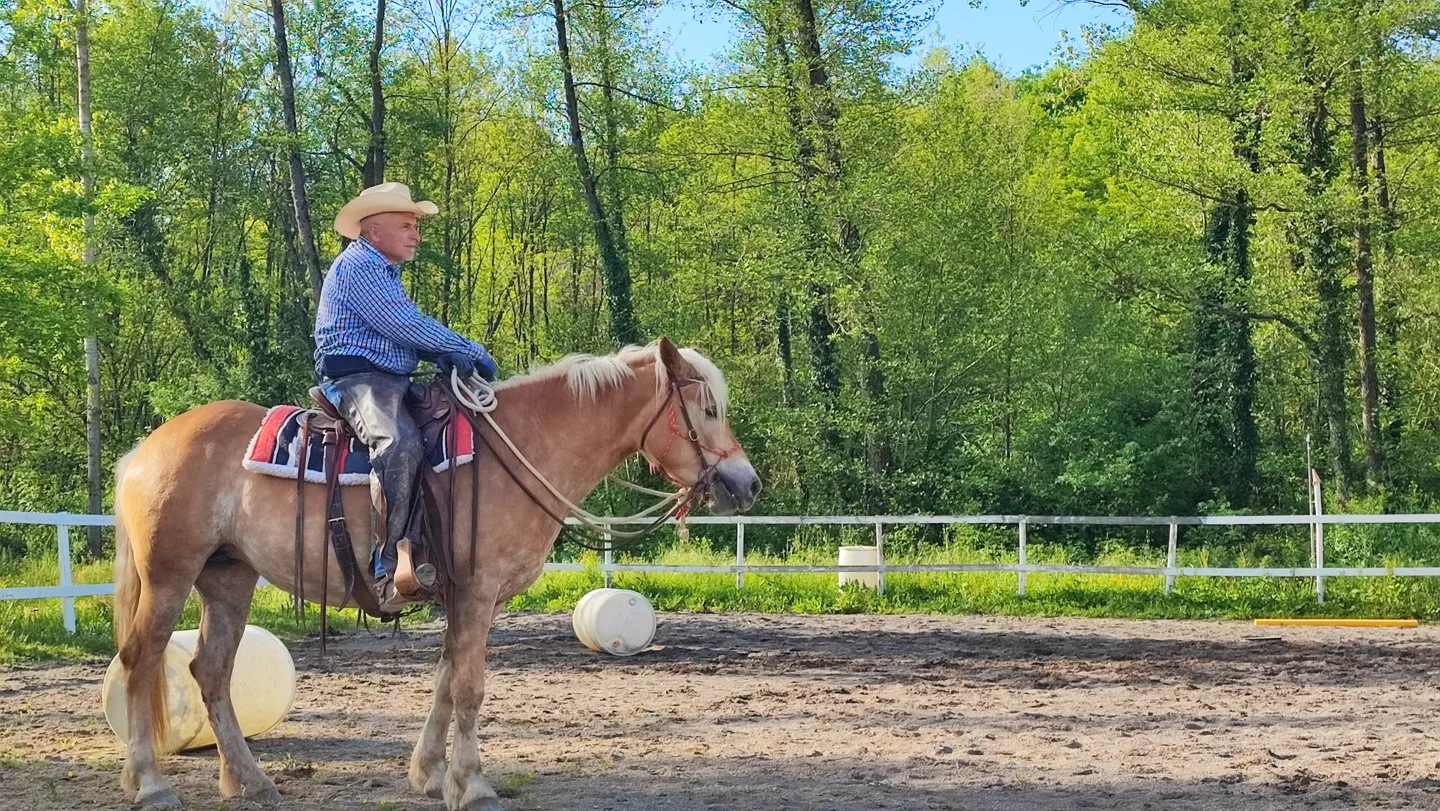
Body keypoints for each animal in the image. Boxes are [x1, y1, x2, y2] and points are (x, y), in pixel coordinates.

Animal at [110, 338, 761, 810]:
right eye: (707, 410)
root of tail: (144, 449)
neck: (525, 446)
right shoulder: (475, 591)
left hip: (228, 579)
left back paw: (249, 780)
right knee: (142, 660)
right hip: (170, 576)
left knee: (211, 671)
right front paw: (472, 786)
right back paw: (152, 784)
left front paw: (429, 773)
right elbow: (470, 687)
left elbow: (448, 680)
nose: (747, 484)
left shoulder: (468, 597)